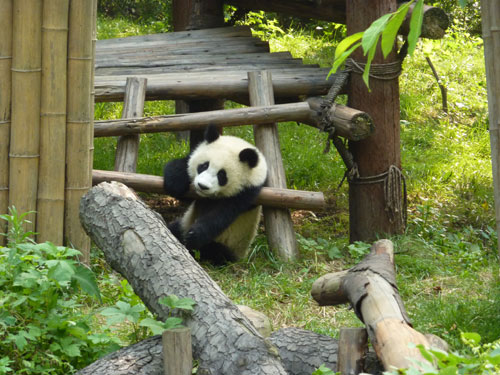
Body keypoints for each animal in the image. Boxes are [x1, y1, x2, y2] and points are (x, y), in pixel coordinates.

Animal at [162, 126, 268, 264]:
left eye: (222, 175)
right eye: (204, 166)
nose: (202, 186)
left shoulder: (247, 192)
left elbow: (220, 214)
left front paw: (194, 235)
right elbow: (183, 165)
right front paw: (175, 183)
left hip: (232, 246)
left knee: (214, 251)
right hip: (183, 224)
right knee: (174, 228)